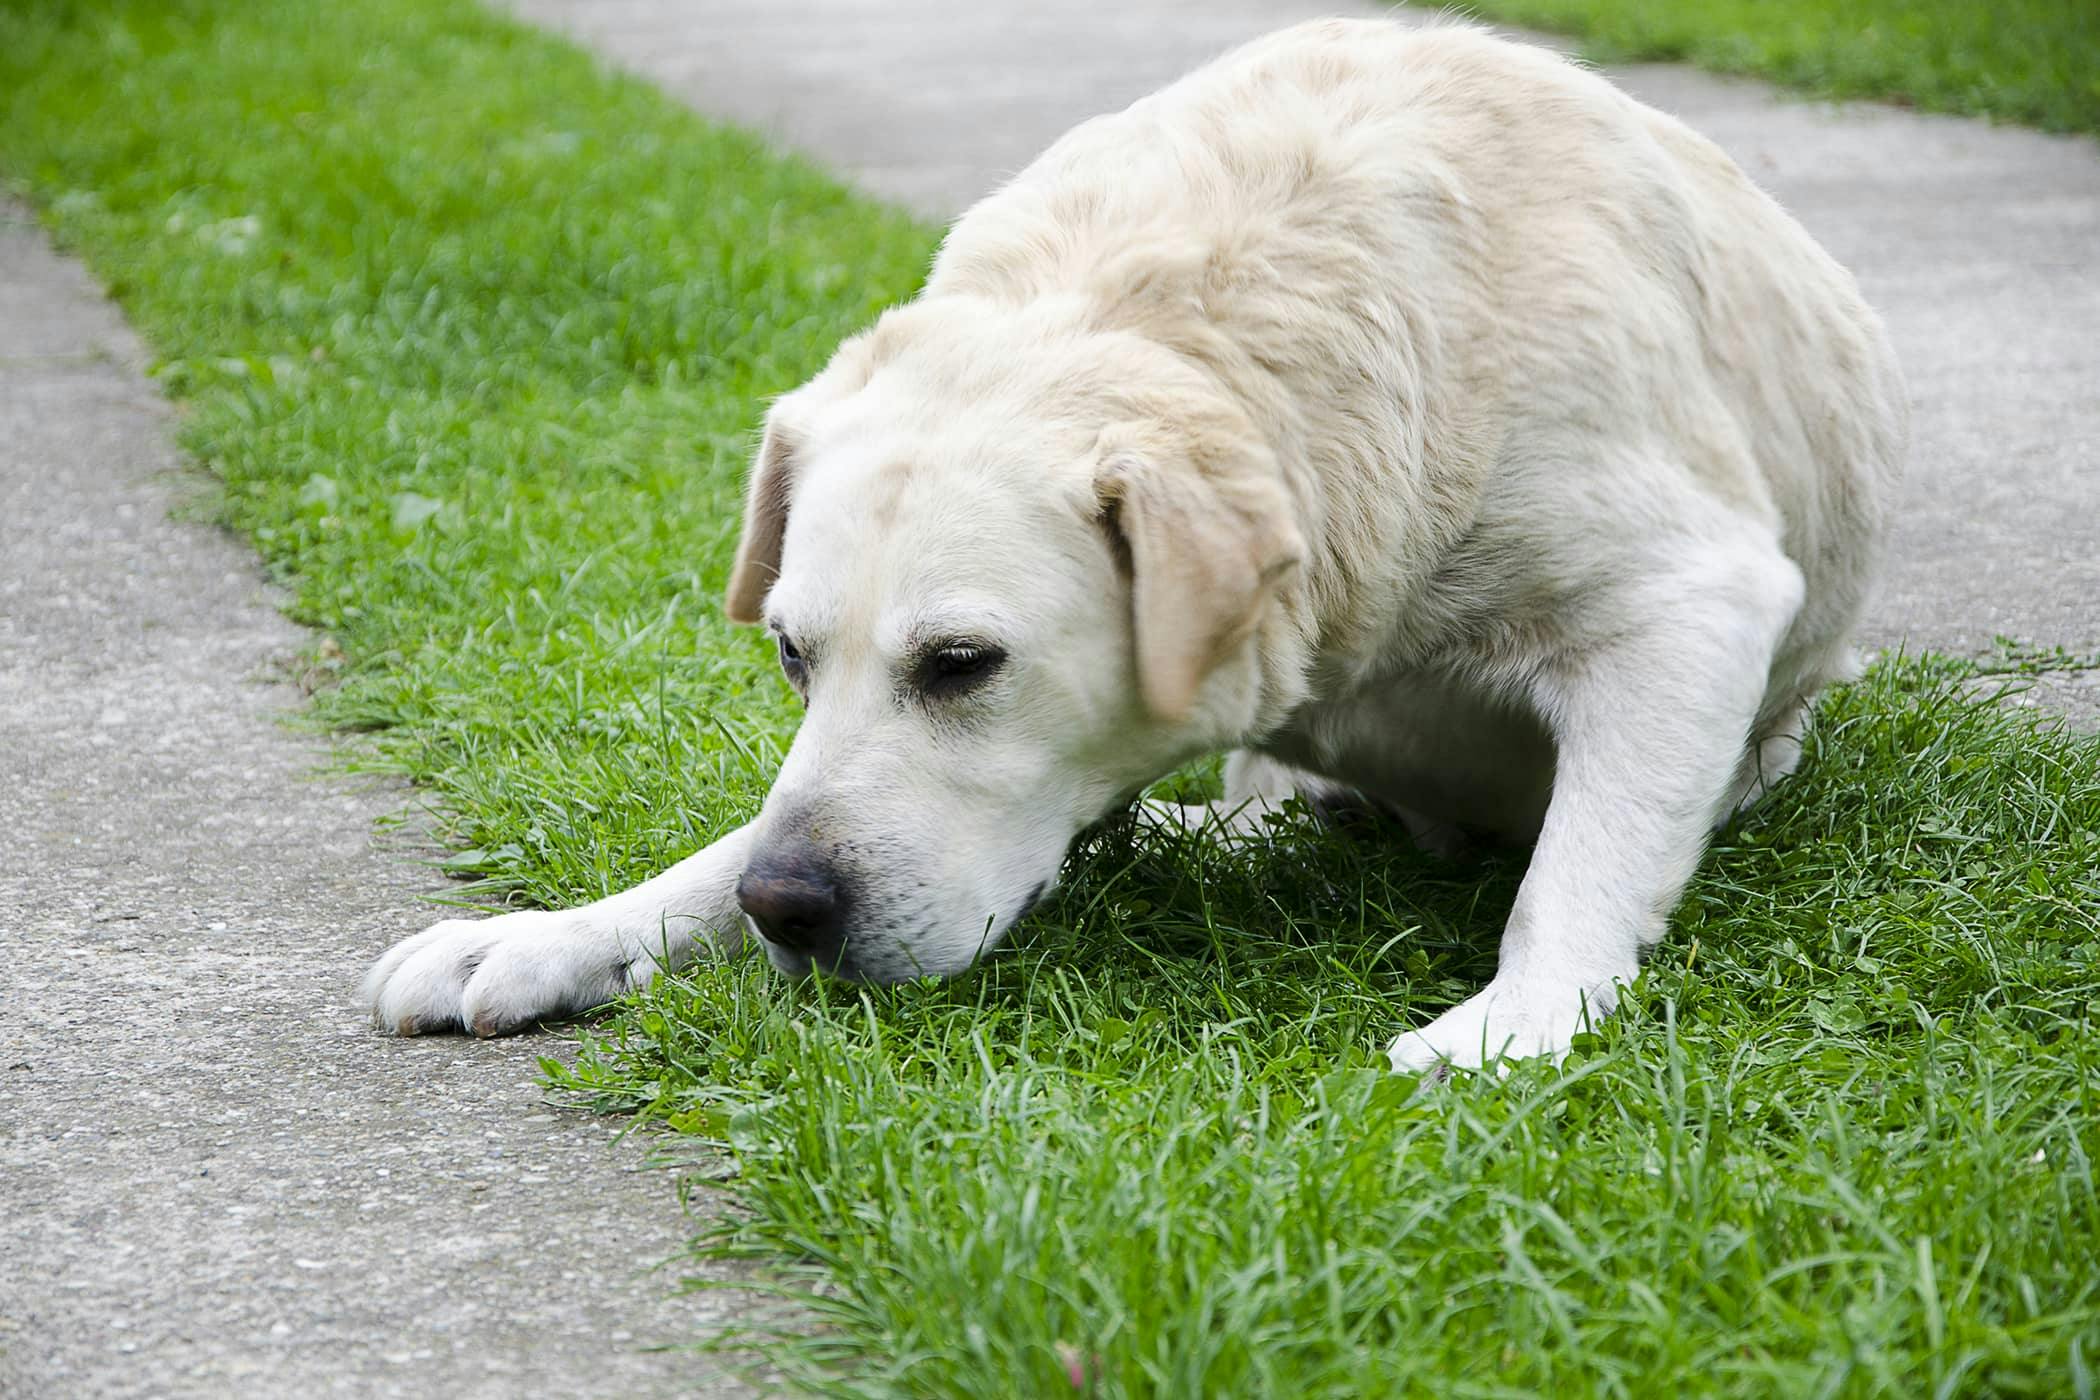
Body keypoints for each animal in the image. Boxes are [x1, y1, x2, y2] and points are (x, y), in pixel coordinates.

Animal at [361, 19, 1906, 1074]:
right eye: (792, 654)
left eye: (963, 664)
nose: (788, 909)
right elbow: (728, 837)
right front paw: (564, 929)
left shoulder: (1692, 600)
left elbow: (1579, 865)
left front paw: (1514, 1021)